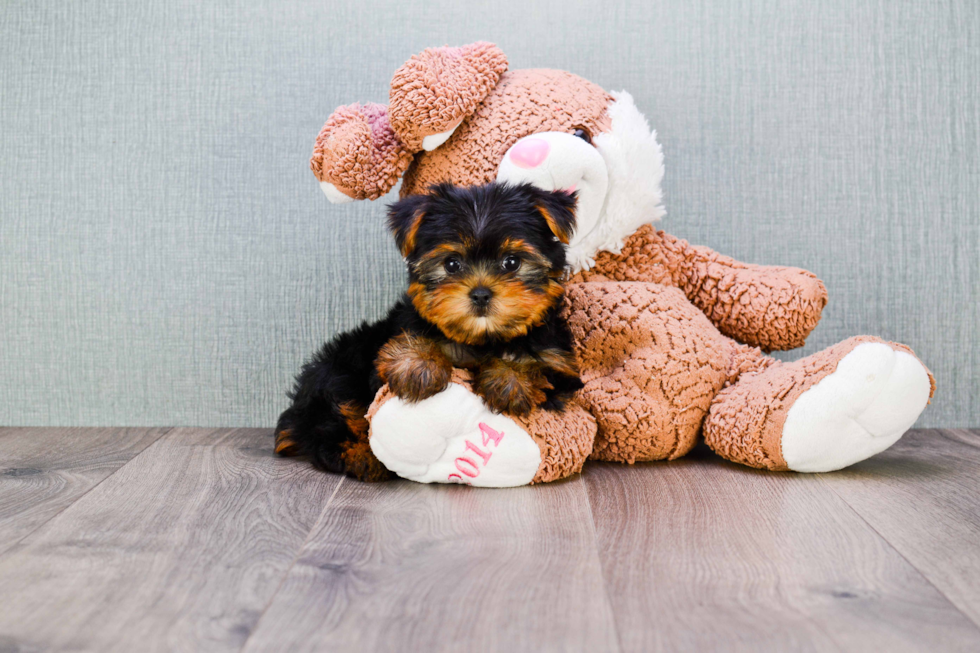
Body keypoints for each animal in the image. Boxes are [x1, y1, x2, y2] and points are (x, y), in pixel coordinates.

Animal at [274, 182, 580, 478]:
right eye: (452, 264)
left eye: (512, 262)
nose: (481, 294)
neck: (483, 338)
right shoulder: (401, 332)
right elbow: (417, 338)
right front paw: (418, 365)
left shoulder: (560, 366)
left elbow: (538, 366)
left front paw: (510, 377)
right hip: (340, 371)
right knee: (331, 425)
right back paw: (363, 457)